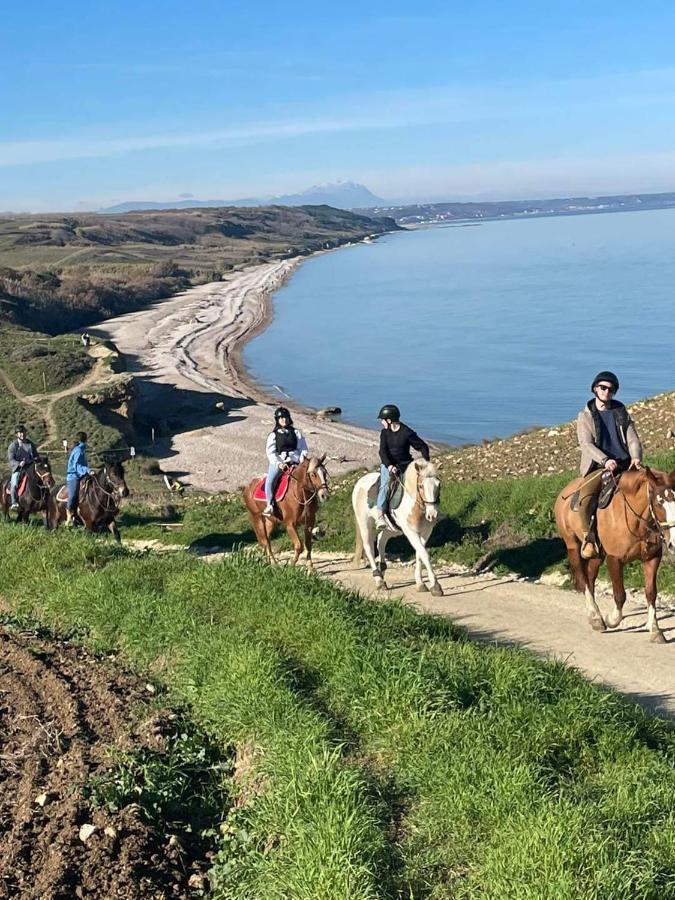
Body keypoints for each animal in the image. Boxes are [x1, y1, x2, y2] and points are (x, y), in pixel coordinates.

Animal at [352, 460, 446, 596]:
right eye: (421, 486)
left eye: (439, 485)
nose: (432, 515)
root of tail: (359, 482)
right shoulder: (410, 532)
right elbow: (424, 554)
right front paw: (436, 586)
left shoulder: (426, 532)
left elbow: (419, 554)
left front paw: (420, 584)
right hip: (364, 523)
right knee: (369, 547)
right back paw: (379, 580)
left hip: (391, 528)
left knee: (381, 540)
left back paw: (382, 569)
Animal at [556, 468, 675, 644]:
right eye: (659, 502)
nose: (673, 542)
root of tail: (563, 494)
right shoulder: (614, 559)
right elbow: (620, 595)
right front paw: (612, 620)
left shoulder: (651, 559)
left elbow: (651, 593)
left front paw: (655, 630)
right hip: (573, 546)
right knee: (583, 580)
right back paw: (596, 617)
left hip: (597, 555)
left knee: (590, 578)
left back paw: (594, 615)